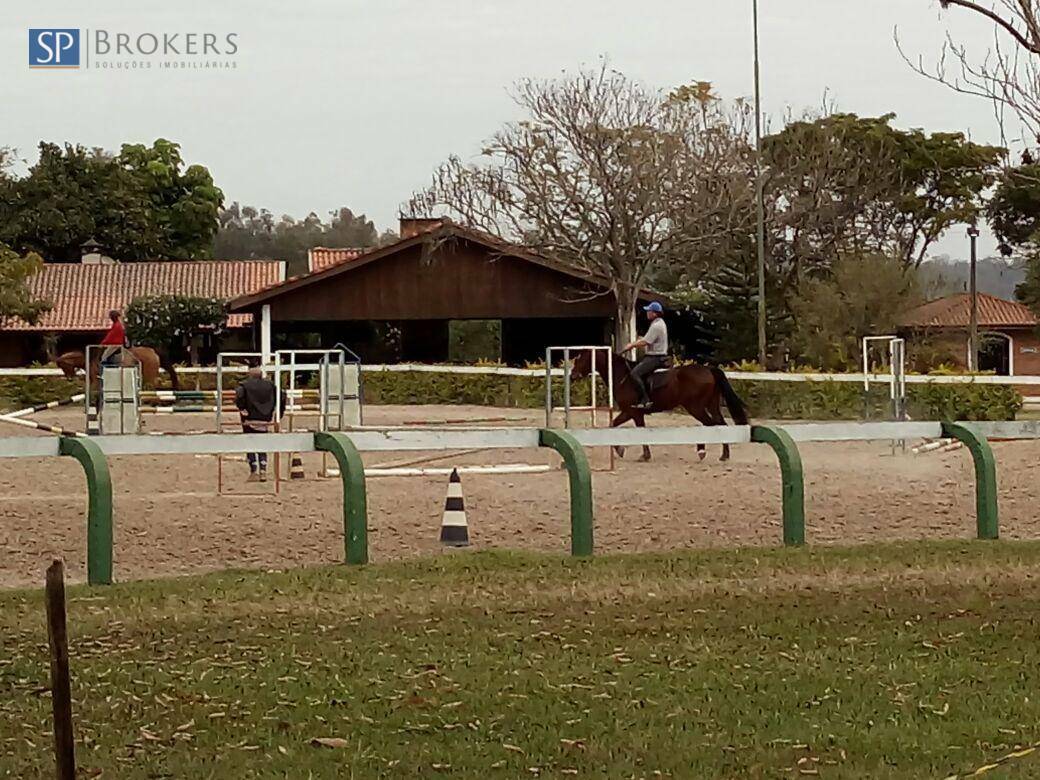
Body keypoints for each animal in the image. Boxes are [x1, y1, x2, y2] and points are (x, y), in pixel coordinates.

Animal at [569, 349, 748, 463]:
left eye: (581, 359)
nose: (572, 376)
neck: (623, 376)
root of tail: (708, 370)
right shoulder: (629, 412)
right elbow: (612, 425)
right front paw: (621, 450)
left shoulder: (633, 412)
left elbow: (635, 430)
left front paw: (642, 455)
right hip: (711, 406)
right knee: (721, 425)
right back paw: (724, 455)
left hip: (695, 407)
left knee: (710, 425)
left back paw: (702, 451)